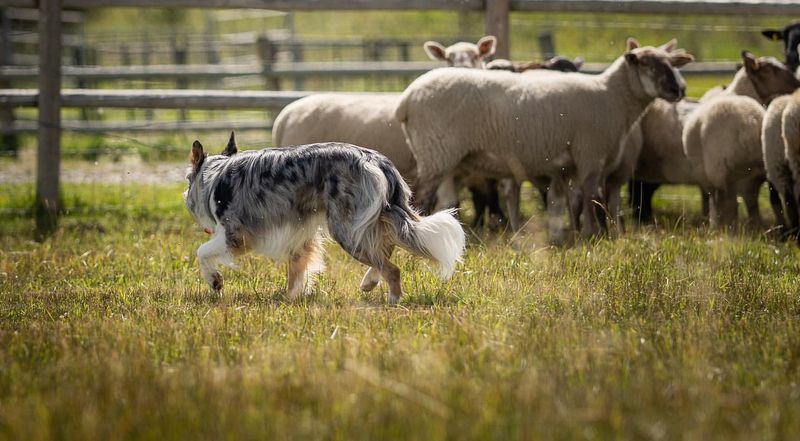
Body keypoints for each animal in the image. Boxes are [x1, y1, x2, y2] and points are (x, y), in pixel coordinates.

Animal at [184, 132, 466, 304]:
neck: (214, 177)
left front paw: (215, 282)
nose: (185, 197)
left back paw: (393, 300)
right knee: (385, 250)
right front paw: (291, 299)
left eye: (187, 182)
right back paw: (369, 282)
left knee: (391, 266)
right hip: (367, 220)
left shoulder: (235, 234)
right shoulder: (300, 235)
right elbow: (297, 269)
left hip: (345, 228)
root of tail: (376, 160)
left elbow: (201, 251)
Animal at [400, 38, 692, 242]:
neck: (612, 96)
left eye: (672, 64)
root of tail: (408, 96)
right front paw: (594, 235)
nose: (680, 89)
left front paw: (577, 234)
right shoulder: (590, 155)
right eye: (648, 64)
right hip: (438, 153)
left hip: (444, 158)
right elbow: (591, 197)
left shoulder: (572, 165)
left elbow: (576, 200)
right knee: (421, 198)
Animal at [680, 53, 800, 229]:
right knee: (741, 202)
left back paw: (722, 228)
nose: (797, 84)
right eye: (770, 70)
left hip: (717, 173)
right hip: (739, 171)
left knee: (724, 202)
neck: (739, 92)